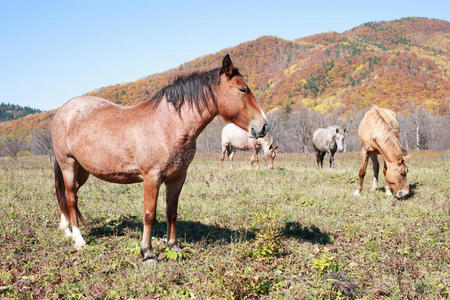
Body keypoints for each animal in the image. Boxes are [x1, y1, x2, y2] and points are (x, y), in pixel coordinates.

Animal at [50, 55, 268, 264]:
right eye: (242, 89)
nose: (263, 126)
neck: (167, 125)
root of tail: (62, 111)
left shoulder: (177, 178)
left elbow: (171, 211)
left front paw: (173, 246)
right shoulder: (151, 178)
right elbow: (149, 214)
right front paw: (148, 253)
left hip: (82, 170)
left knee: (70, 197)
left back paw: (67, 230)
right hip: (68, 164)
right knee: (71, 197)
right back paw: (78, 239)